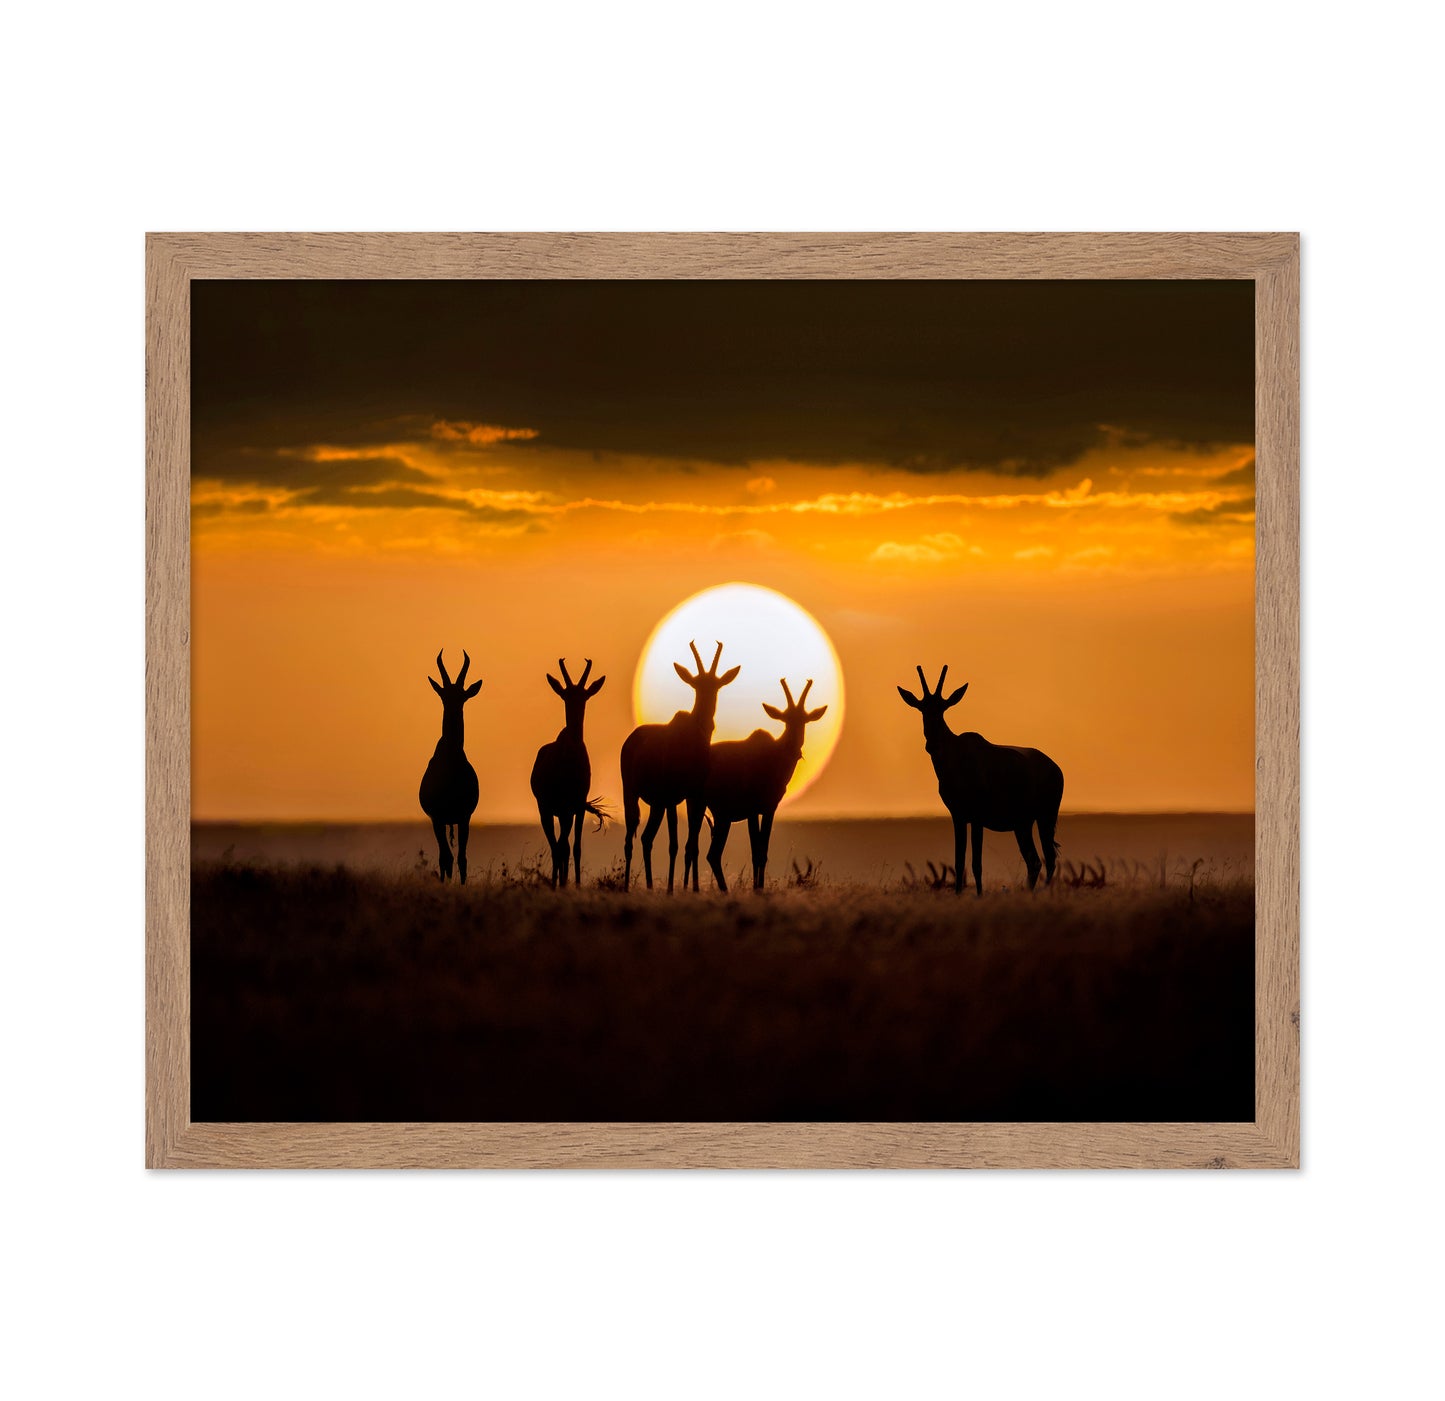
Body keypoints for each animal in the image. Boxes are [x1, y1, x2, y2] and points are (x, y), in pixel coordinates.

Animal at [419, 649, 483, 883]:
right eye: (443, 696)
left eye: (462, 696)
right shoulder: (436, 818)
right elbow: (445, 857)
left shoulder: (465, 817)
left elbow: (462, 858)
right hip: (441, 821)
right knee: (444, 856)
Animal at [529, 657, 607, 888]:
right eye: (565, 695)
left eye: (584, 695)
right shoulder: (561, 808)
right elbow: (561, 846)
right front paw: (560, 884)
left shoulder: (577, 807)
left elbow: (576, 847)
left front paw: (577, 884)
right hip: (546, 810)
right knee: (556, 846)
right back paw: (556, 882)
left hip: (565, 812)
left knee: (562, 845)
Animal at [620, 640, 739, 892]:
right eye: (696, 685)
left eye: (716, 686)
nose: (708, 722)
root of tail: (631, 740)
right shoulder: (671, 799)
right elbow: (674, 844)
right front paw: (672, 890)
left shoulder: (694, 796)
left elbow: (691, 844)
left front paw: (690, 888)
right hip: (633, 794)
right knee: (630, 837)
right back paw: (626, 887)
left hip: (657, 804)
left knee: (646, 838)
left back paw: (650, 886)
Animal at [704, 679, 828, 892]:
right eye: (786, 719)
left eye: (804, 720)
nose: (794, 749)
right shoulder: (753, 811)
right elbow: (756, 851)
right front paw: (756, 889)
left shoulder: (770, 809)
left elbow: (764, 851)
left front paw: (760, 888)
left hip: (721, 816)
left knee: (712, 854)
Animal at [897, 665, 1064, 896]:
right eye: (922, 709)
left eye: (942, 708)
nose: (931, 745)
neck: (957, 754)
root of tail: (1055, 768)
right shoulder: (958, 817)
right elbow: (959, 861)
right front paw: (959, 895)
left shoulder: (977, 818)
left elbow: (977, 863)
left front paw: (978, 896)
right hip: (1023, 824)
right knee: (1034, 861)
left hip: (1045, 817)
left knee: (1049, 858)